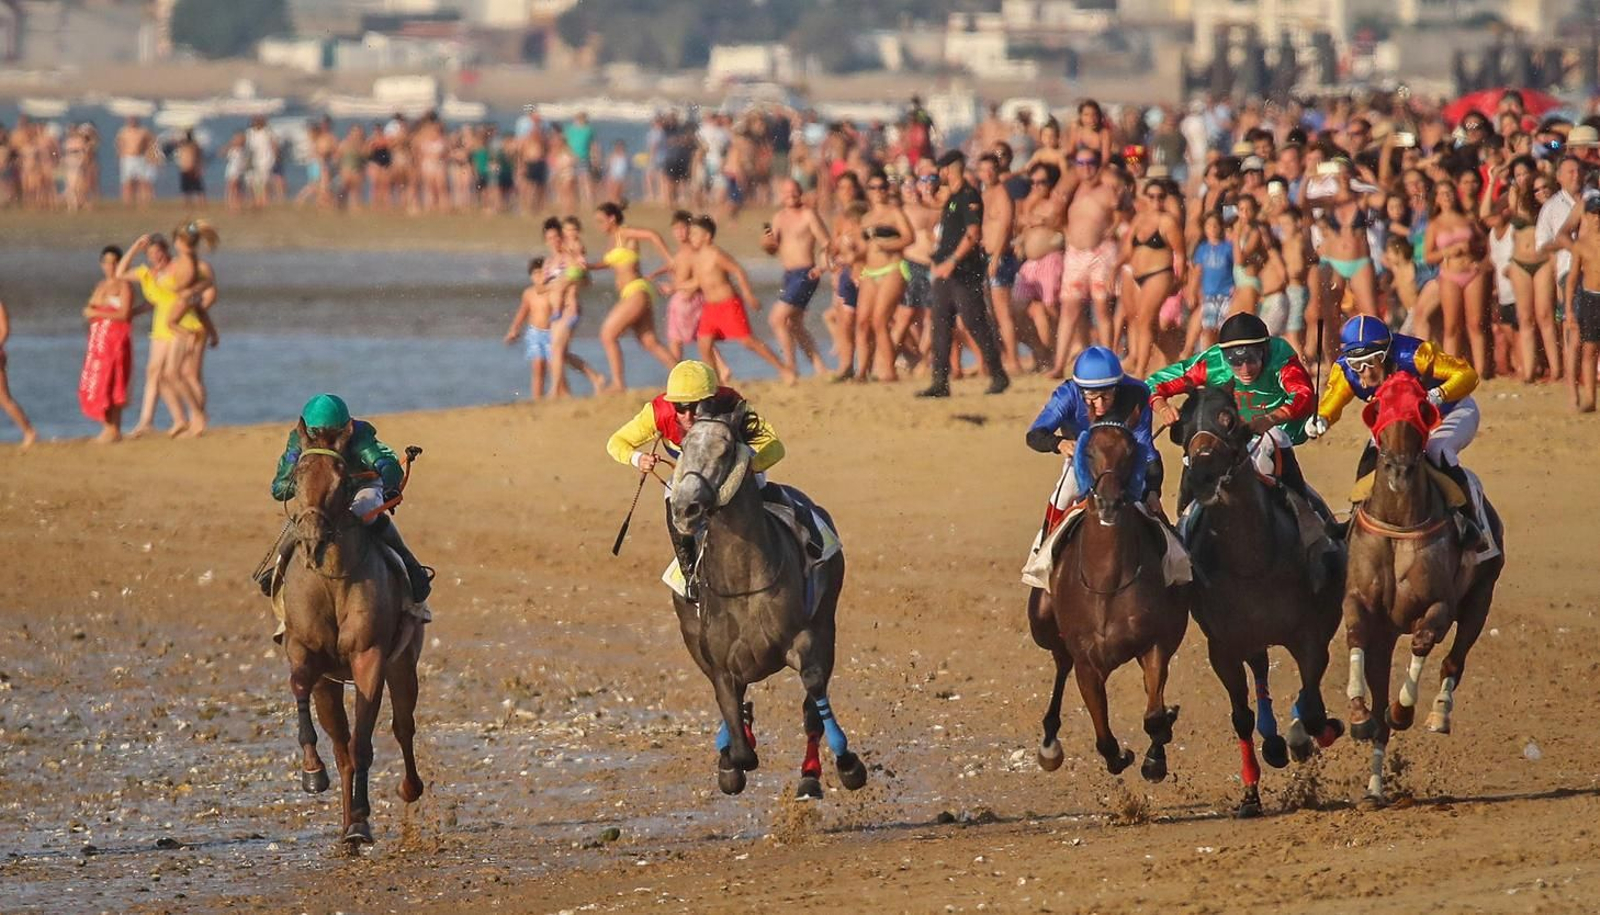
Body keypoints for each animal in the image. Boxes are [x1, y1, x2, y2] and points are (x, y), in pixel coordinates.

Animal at [280, 420, 425, 844]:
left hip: (403, 664)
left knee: (402, 728)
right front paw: (313, 773)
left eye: (341, 477)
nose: (312, 534)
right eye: (297, 475)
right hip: (329, 686)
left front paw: (361, 819)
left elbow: (364, 743)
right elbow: (299, 685)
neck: (331, 579)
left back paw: (404, 792)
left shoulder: (369, 656)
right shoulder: (304, 651)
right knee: (341, 749)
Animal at [668, 405, 868, 799]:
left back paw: (810, 775)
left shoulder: (804, 639)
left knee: (812, 708)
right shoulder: (719, 664)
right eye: (683, 447)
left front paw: (848, 764)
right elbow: (738, 743)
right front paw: (730, 758)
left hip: (827, 620)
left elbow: (813, 691)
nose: (686, 508)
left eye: (725, 449)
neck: (742, 581)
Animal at [1027, 422, 1189, 783]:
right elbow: (1103, 738)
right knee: (1060, 663)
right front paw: (1121, 755)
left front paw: (1154, 758)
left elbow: (1153, 715)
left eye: (1130, 452)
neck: (1107, 583)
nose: (1109, 503)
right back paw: (1049, 744)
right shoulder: (1087, 662)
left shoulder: (1155, 644)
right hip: (1042, 624)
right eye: (1088, 452)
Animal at [1172, 383, 1345, 818]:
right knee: (1262, 670)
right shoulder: (1224, 646)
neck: (1252, 560)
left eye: (1230, 419)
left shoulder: (1311, 635)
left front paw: (1317, 733)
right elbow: (1241, 715)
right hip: (1251, 638)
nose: (1201, 476)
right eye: (1181, 425)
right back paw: (1274, 743)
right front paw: (1250, 793)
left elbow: (1314, 710)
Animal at [1343, 373, 1504, 806]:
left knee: (1453, 661)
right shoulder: (1363, 605)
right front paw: (1359, 714)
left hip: (1481, 597)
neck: (1399, 521)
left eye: (1421, 407)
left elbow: (1422, 642)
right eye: (1378, 407)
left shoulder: (1439, 606)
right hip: (1388, 636)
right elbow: (1355, 635)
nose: (1398, 471)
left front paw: (1405, 711)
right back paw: (1374, 788)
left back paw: (1439, 713)